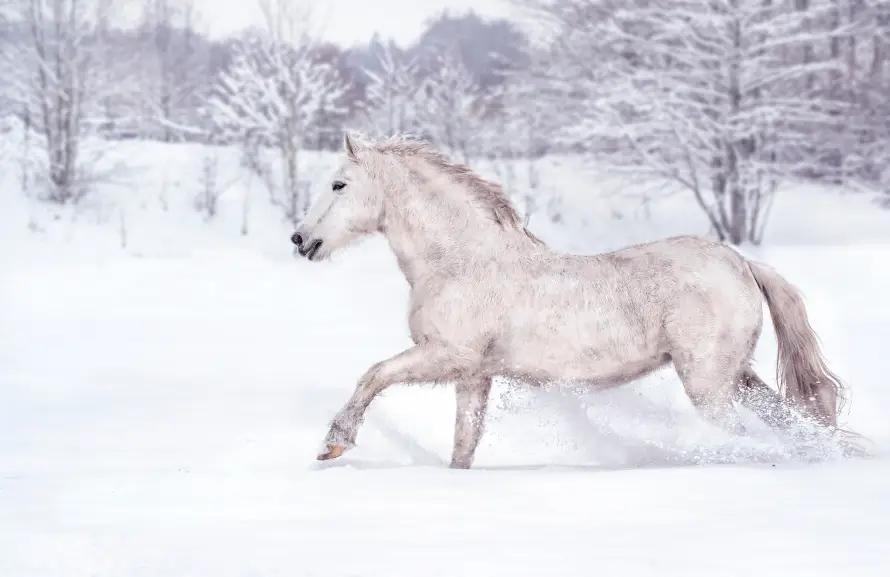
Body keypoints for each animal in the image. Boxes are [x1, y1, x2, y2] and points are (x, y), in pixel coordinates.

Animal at [291, 131, 857, 468]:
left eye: (339, 184)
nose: (301, 240)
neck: (461, 260)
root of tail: (741, 262)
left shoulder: (446, 355)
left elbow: (373, 374)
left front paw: (334, 443)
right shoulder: (473, 376)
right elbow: (464, 443)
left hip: (709, 384)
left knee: (744, 435)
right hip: (736, 376)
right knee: (795, 415)